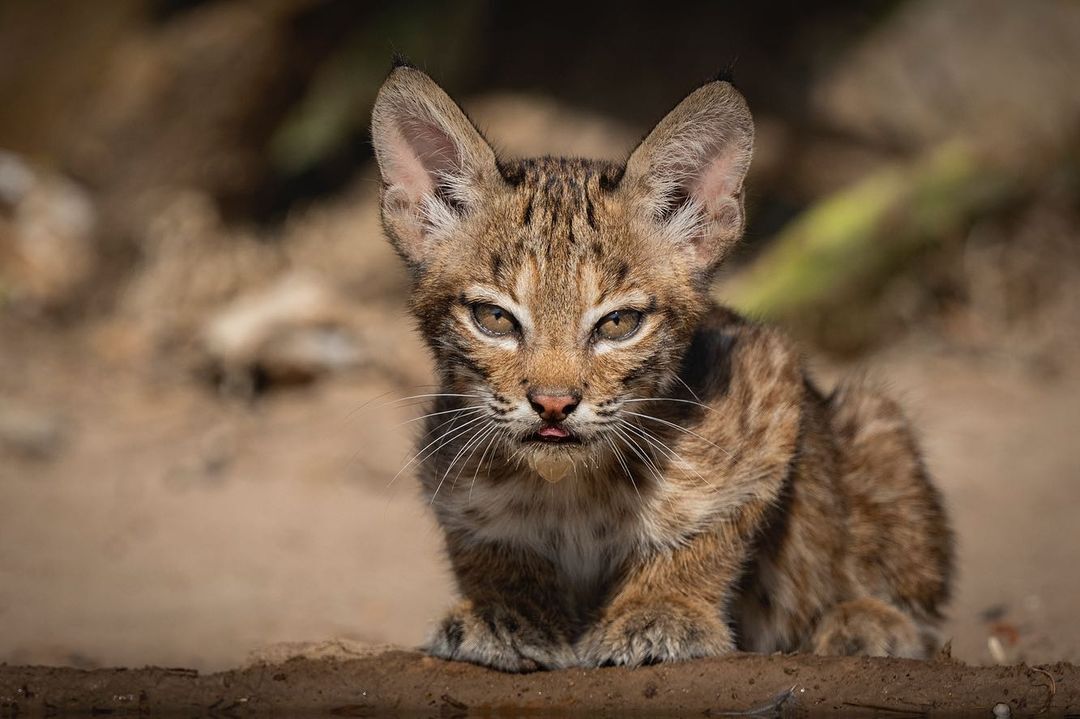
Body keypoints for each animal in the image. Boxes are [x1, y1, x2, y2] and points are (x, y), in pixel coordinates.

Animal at [371, 64, 954, 669]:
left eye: (618, 324)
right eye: (494, 319)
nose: (553, 405)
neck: (568, 485)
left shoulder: (769, 377)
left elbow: (710, 528)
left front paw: (658, 610)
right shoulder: (445, 456)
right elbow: (486, 545)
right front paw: (505, 611)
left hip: (876, 422)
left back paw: (866, 620)